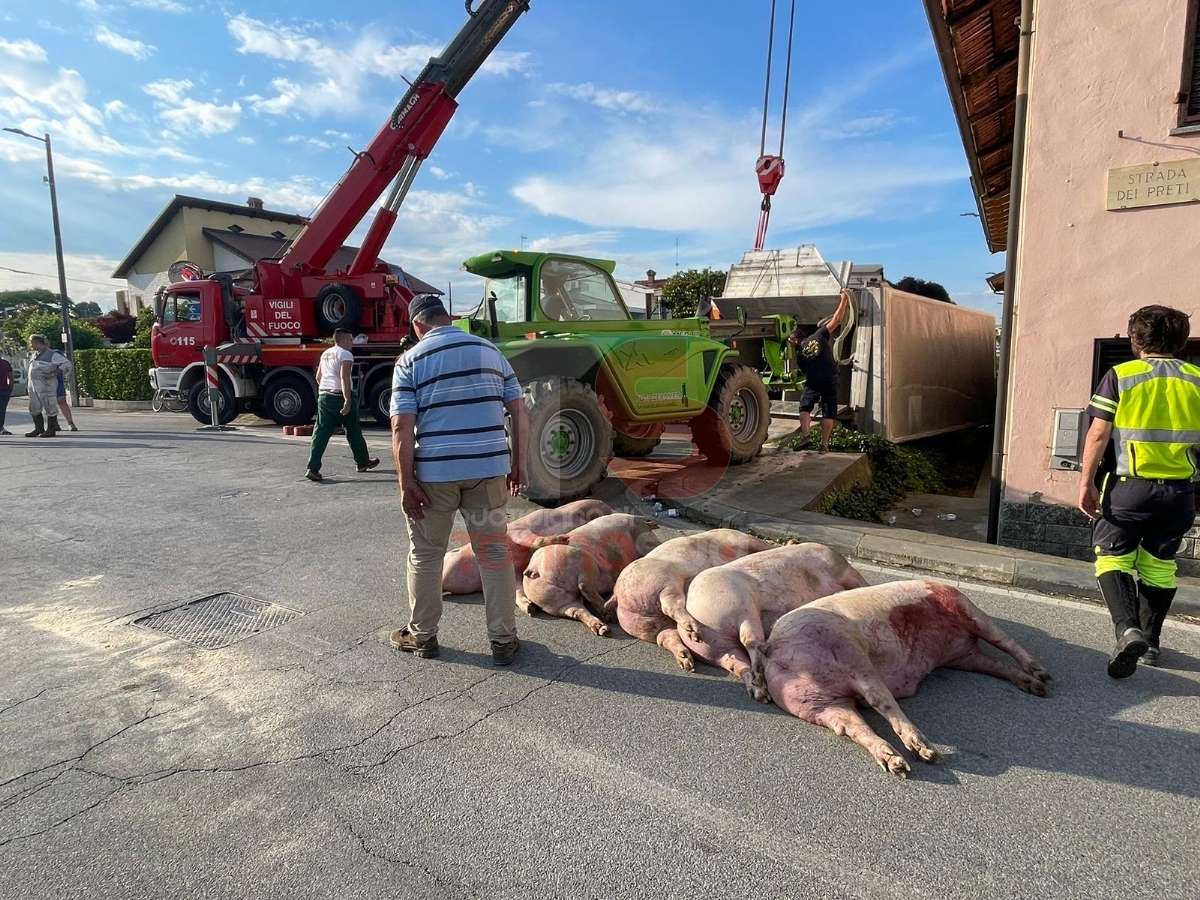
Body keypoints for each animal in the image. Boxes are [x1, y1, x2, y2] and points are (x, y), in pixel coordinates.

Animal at [441, 496, 614, 595]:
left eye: (452, 552)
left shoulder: (517, 531)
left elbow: (533, 540)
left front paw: (563, 539)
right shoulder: (516, 572)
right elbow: (517, 591)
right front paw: (528, 608)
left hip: (591, 505)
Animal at [520, 513, 662, 633]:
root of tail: (533, 568)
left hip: (555, 602)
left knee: (577, 610)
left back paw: (603, 629)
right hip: (582, 560)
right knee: (585, 586)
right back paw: (610, 616)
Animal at [609, 528, 777, 672]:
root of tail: (616, 595)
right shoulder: (738, 538)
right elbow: (762, 544)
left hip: (648, 627)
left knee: (666, 637)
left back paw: (686, 662)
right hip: (664, 582)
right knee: (671, 606)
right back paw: (694, 633)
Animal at [681, 547, 868, 700]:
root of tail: (693, 606)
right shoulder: (842, 570)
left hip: (717, 649)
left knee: (739, 664)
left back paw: (761, 694)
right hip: (742, 604)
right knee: (751, 641)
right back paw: (761, 681)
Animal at [768, 580, 1051, 777]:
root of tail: (773, 648)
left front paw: (1040, 686)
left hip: (816, 701)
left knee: (852, 727)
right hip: (846, 652)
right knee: (878, 699)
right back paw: (927, 754)